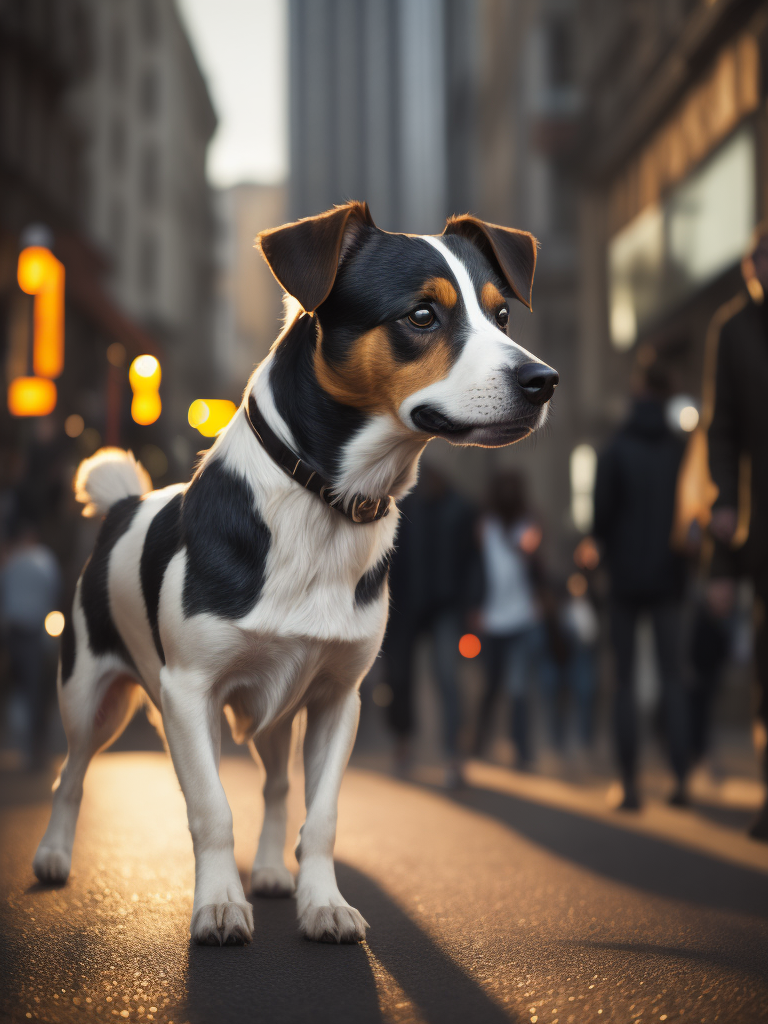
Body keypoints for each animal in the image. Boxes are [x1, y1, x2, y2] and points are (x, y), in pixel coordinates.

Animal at [33, 203, 561, 946]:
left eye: (503, 315)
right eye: (422, 315)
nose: (543, 380)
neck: (324, 504)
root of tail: (124, 503)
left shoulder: (340, 698)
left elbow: (323, 814)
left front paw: (321, 901)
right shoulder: (188, 694)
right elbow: (211, 809)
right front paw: (219, 904)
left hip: (276, 711)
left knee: (278, 784)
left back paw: (271, 871)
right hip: (89, 696)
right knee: (72, 772)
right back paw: (53, 854)